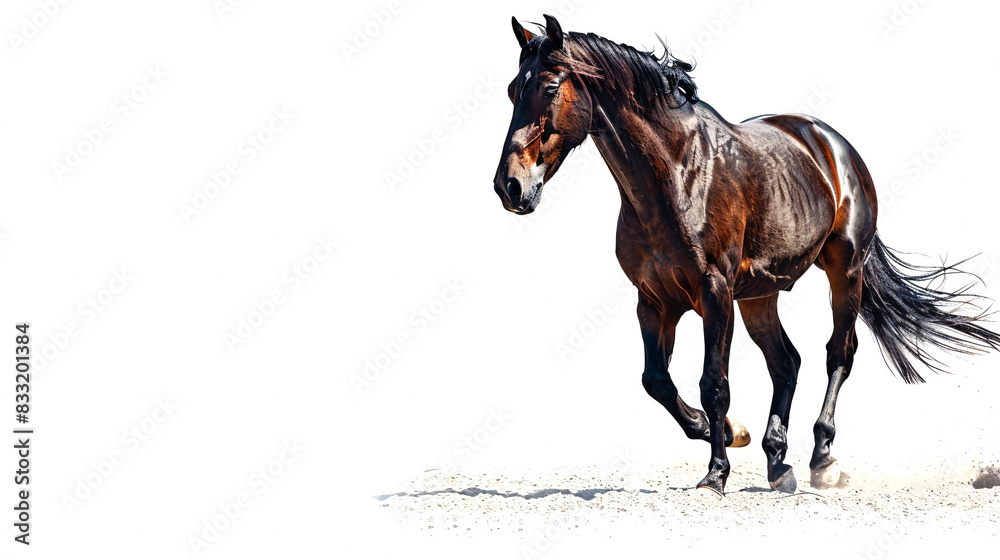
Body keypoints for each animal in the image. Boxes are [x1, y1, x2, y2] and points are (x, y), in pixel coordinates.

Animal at [491, 15, 1000, 495]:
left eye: (550, 88)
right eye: (514, 89)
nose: (509, 186)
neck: (676, 175)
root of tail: (834, 146)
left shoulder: (714, 293)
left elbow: (714, 384)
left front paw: (715, 474)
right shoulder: (654, 301)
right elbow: (657, 381)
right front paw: (731, 434)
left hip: (844, 271)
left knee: (838, 354)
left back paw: (822, 460)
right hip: (760, 296)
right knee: (786, 363)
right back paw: (778, 463)